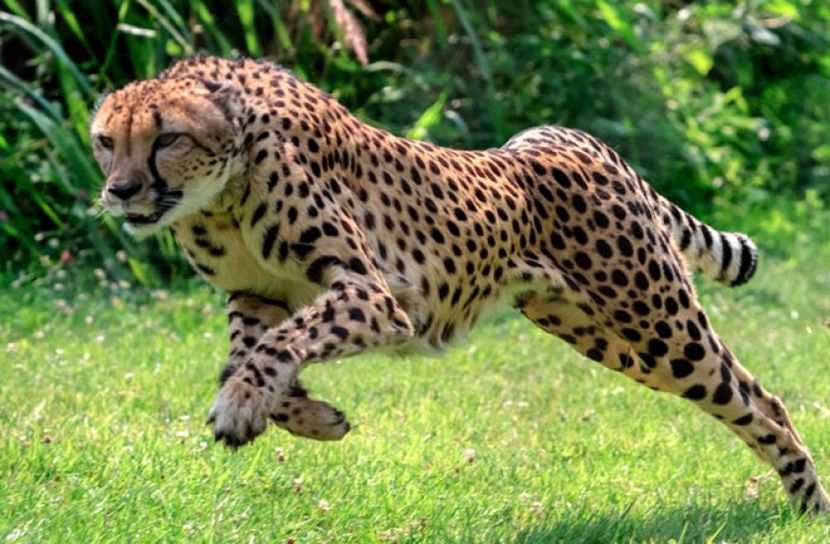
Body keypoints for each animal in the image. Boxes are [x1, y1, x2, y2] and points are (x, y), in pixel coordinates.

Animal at [90, 55, 828, 514]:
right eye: (104, 140)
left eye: (167, 138)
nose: (119, 191)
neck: (220, 193)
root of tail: (572, 138)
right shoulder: (257, 295)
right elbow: (250, 355)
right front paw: (311, 417)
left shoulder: (377, 296)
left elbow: (274, 350)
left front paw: (245, 407)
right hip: (606, 335)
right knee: (747, 393)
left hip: (657, 321)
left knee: (758, 400)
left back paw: (808, 500)